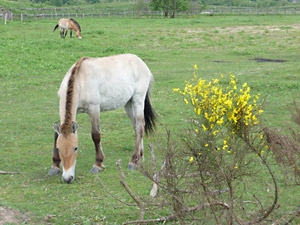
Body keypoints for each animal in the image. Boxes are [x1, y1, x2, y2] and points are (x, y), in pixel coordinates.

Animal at [48, 54, 156, 183]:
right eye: (58, 149)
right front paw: (54, 166)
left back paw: (133, 162)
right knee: (136, 127)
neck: (80, 81)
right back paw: (140, 157)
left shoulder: (94, 109)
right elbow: (56, 136)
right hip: (128, 104)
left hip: (138, 101)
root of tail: (140, 61)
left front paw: (98, 165)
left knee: (140, 127)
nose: (67, 178)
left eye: (75, 148)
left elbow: (96, 135)